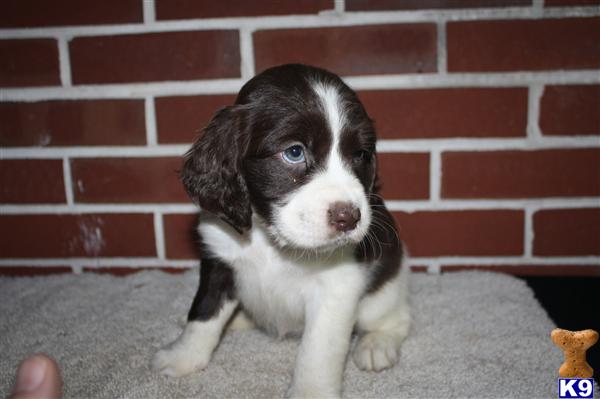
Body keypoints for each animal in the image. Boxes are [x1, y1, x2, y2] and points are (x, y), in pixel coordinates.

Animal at [152, 64, 410, 398]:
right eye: (294, 152)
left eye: (360, 155)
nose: (349, 217)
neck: (270, 238)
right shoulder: (219, 262)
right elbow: (203, 312)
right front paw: (183, 357)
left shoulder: (336, 289)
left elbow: (318, 350)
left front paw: (311, 391)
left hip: (383, 291)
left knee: (397, 318)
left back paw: (377, 344)